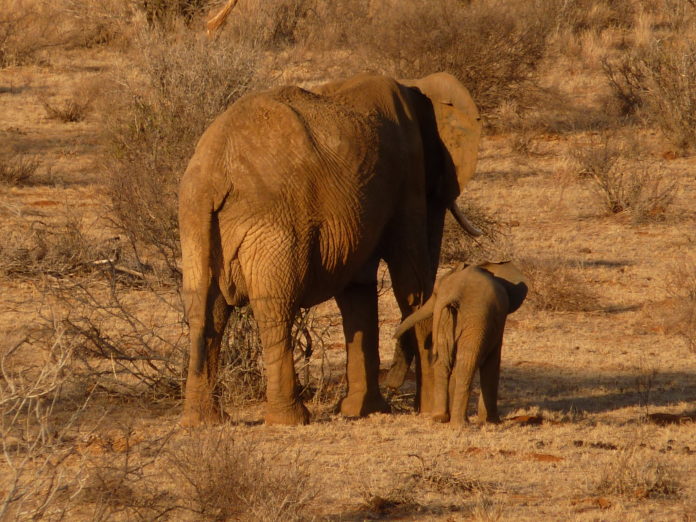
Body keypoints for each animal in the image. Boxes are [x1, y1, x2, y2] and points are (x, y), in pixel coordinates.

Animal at [179, 71, 482, 424]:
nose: (395, 384)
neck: (416, 86)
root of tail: (213, 174)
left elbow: (357, 292)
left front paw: (363, 410)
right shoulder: (408, 173)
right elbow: (412, 284)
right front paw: (429, 411)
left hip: (195, 224)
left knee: (205, 310)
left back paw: (204, 420)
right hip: (273, 223)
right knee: (276, 308)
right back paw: (292, 419)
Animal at [394, 260, 524, 422]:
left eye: (435, 293)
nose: (394, 336)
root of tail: (454, 295)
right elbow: (492, 362)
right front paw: (492, 422)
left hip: (448, 319)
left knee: (444, 363)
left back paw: (440, 417)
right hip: (475, 320)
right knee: (466, 364)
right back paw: (460, 423)